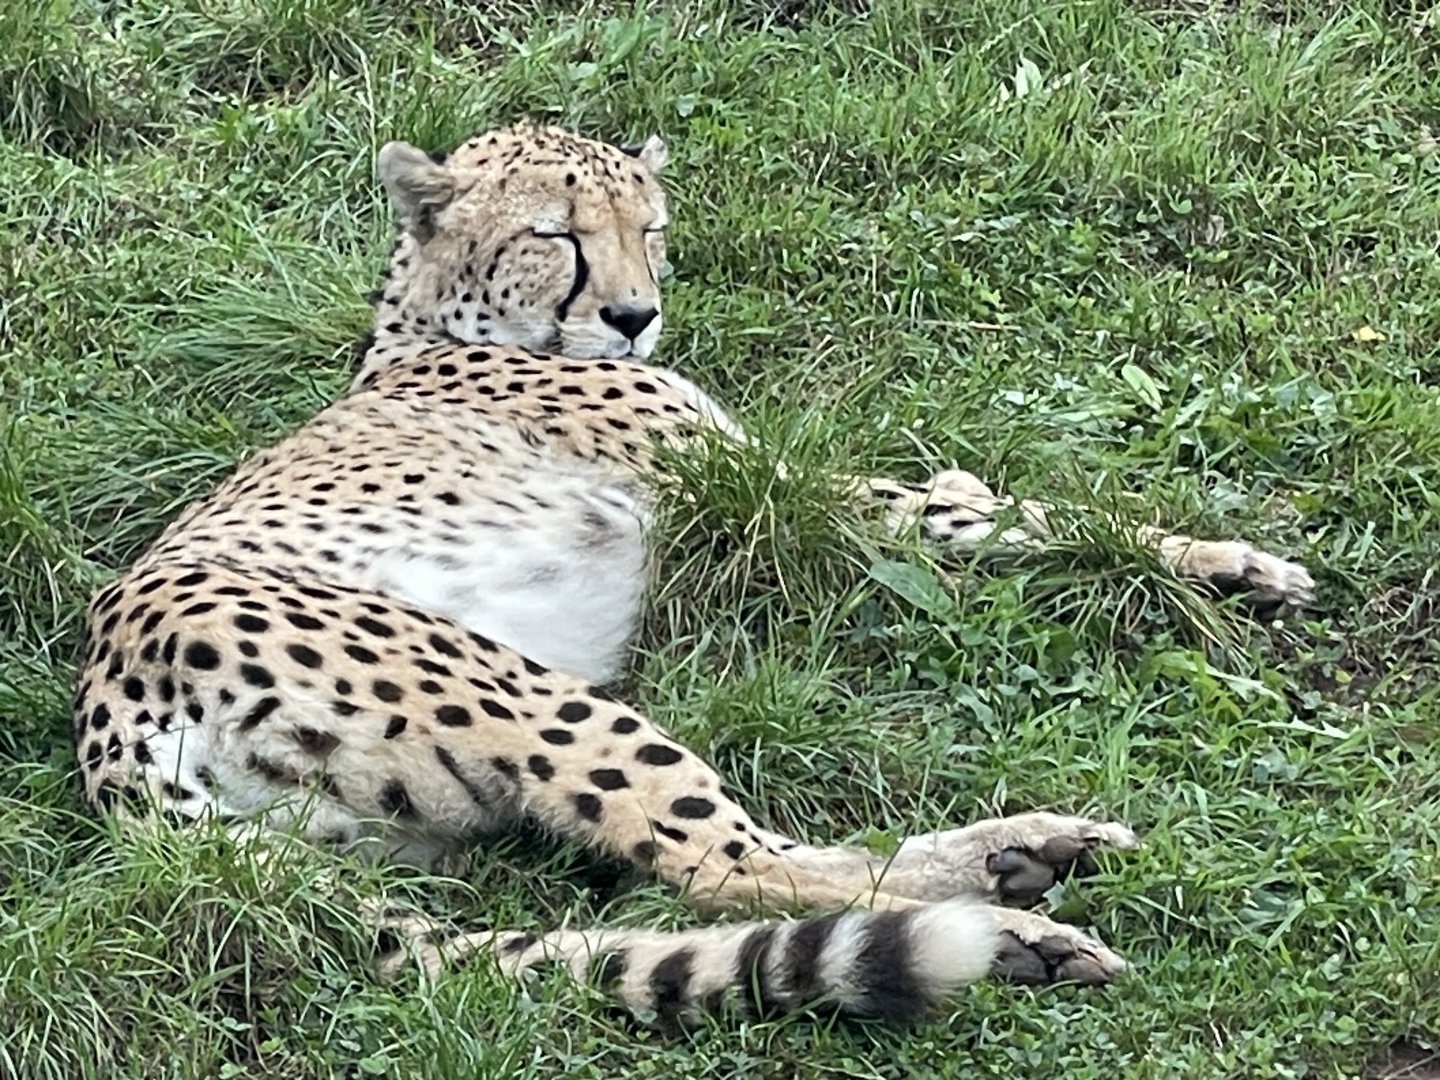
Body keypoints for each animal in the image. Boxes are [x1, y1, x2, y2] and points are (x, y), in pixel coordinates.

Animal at [71, 122, 1315, 1027]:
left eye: (651, 226)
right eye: (557, 234)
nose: (636, 313)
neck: (439, 326)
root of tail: (104, 715)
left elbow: (969, 499)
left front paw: (1214, 560)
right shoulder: (765, 488)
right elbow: (988, 515)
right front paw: (1210, 557)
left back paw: (1023, 858)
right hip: (527, 694)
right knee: (731, 867)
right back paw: (1014, 914)